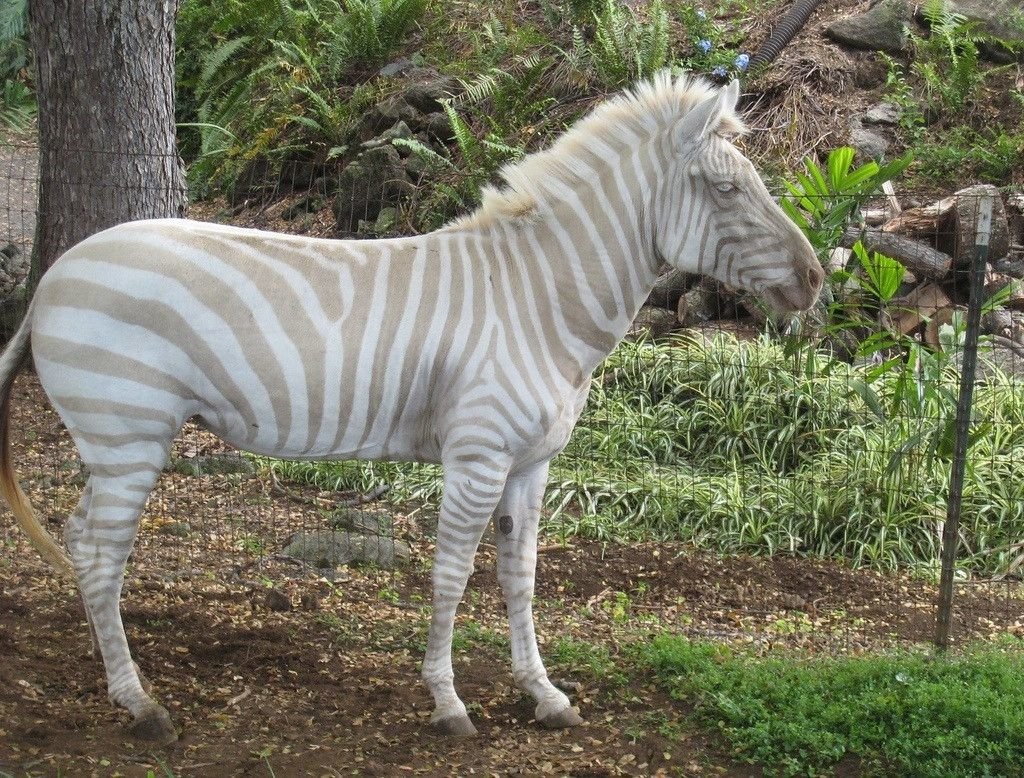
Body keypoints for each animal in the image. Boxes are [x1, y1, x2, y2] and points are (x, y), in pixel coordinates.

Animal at [0, 74, 815, 749]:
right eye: (726, 190)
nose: (815, 280)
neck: (538, 300)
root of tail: (53, 276)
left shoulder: (531, 464)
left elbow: (520, 575)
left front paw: (543, 694)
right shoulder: (477, 455)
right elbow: (452, 576)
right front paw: (448, 703)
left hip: (112, 444)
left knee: (79, 542)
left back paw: (116, 676)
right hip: (128, 435)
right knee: (100, 552)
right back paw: (140, 703)